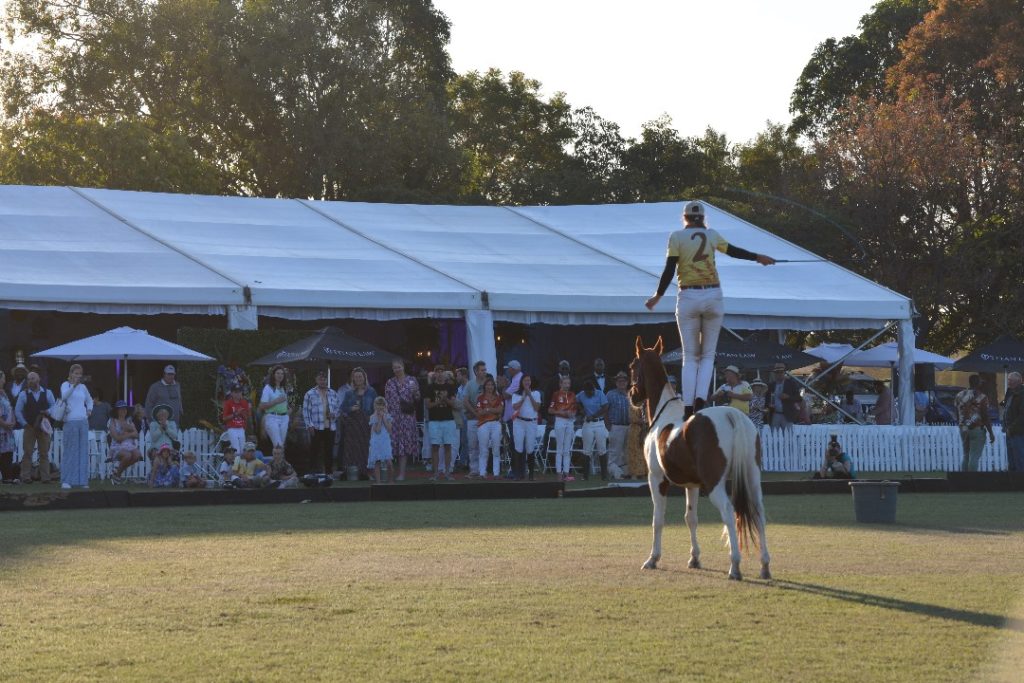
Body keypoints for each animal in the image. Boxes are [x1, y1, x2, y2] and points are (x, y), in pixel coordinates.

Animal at [626, 335, 770, 581]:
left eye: (633, 366)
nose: (632, 395)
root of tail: (731, 415)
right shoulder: (691, 485)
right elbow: (690, 518)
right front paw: (694, 558)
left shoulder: (656, 480)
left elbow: (658, 520)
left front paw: (653, 559)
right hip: (752, 477)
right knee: (759, 512)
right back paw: (765, 565)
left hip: (714, 485)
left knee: (729, 512)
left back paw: (735, 566)